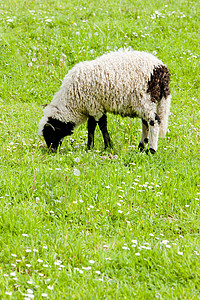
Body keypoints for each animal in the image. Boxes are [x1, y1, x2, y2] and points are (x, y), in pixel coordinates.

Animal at [38, 49, 171, 154]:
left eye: (50, 134)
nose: (52, 151)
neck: (72, 103)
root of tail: (161, 69)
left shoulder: (94, 106)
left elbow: (100, 126)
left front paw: (105, 146)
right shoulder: (94, 107)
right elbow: (93, 126)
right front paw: (93, 146)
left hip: (146, 99)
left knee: (154, 121)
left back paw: (152, 150)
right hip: (144, 103)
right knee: (145, 124)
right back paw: (141, 147)